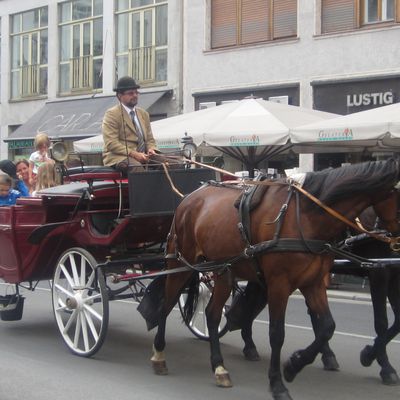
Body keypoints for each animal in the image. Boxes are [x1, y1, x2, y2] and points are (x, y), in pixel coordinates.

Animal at [149, 159, 400, 400]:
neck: (306, 216)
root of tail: (188, 198)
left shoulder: (313, 282)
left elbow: (328, 326)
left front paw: (294, 365)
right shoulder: (281, 283)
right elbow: (277, 334)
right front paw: (277, 383)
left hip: (223, 270)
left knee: (212, 313)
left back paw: (219, 367)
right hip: (180, 264)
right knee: (166, 305)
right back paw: (159, 354)